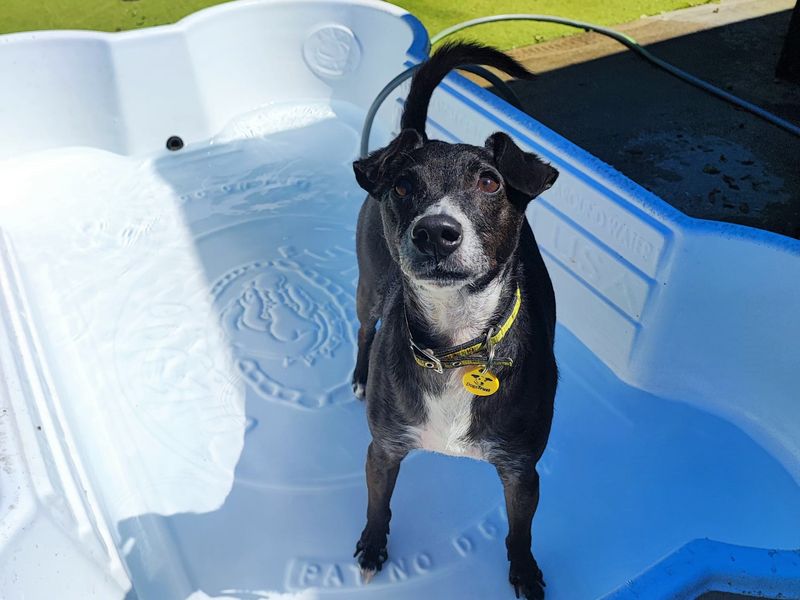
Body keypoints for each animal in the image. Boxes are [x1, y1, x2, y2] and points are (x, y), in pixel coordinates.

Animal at [350, 43, 556, 600]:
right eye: (403, 186)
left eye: (489, 182)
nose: (436, 231)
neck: (454, 346)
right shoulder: (383, 449)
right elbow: (377, 506)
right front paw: (372, 549)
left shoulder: (523, 471)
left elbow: (521, 531)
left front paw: (525, 575)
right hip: (370, 287)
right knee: (364, 328)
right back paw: (358, 376)